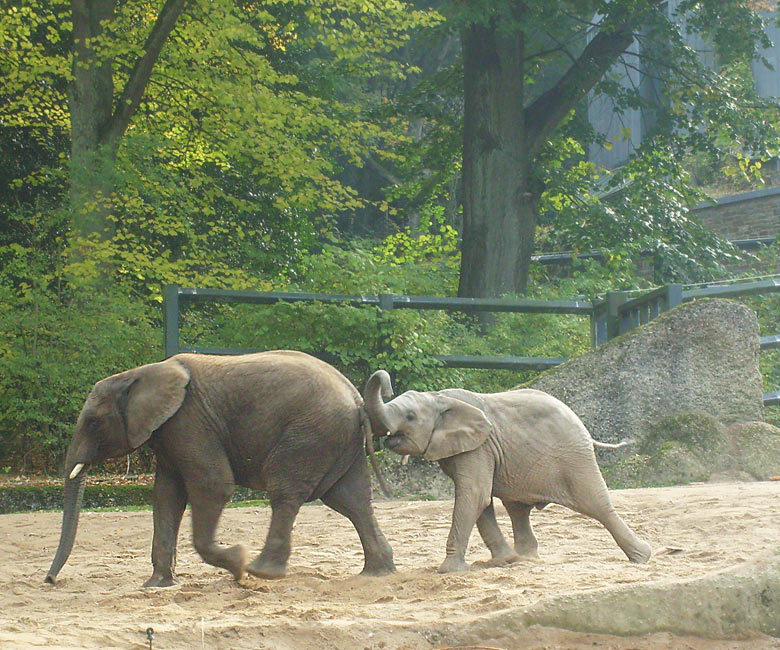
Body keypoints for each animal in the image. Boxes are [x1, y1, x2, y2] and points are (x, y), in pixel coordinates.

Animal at [45, 352, 394, 584]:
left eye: (93, 422)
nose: (50, 580)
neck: (139, 373)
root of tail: (357, 399)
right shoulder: (168, 433)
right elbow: (166, 497)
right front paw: (157, 585)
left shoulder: (189, 422)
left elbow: (213, 485)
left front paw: (237, 563)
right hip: (335, 439)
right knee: (352, 500)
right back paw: (377, 572)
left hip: (310, 434)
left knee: (287, 494)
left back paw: (260, 571)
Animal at [366, 370, 652, 572]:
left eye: (410, 416)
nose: (388, 385)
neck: (439, 397)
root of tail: (583, 426)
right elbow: (479, 500)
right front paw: (505, 560)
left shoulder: (479, 447)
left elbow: (474, 495)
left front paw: (448, 571)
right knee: (517, 509)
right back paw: (525, 559)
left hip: (575, 458)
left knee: (597, 504)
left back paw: (642, 557)